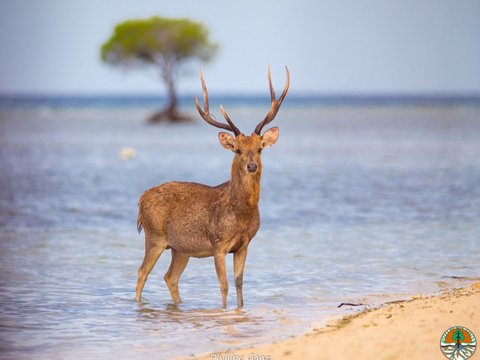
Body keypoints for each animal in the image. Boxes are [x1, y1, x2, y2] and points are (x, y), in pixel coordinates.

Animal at [137, 64, 290, 306]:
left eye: (260, 148)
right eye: (237, 150)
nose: (252, 166)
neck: (240, 215)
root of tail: (141, 198)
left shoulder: (244, 245)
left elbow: (239, 284)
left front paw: (239, 309)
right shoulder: (218, 244)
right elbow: (224, 285)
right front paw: (224, 310)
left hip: (180, 248)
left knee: (170, 277)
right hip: (154, 237)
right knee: (142, 272)